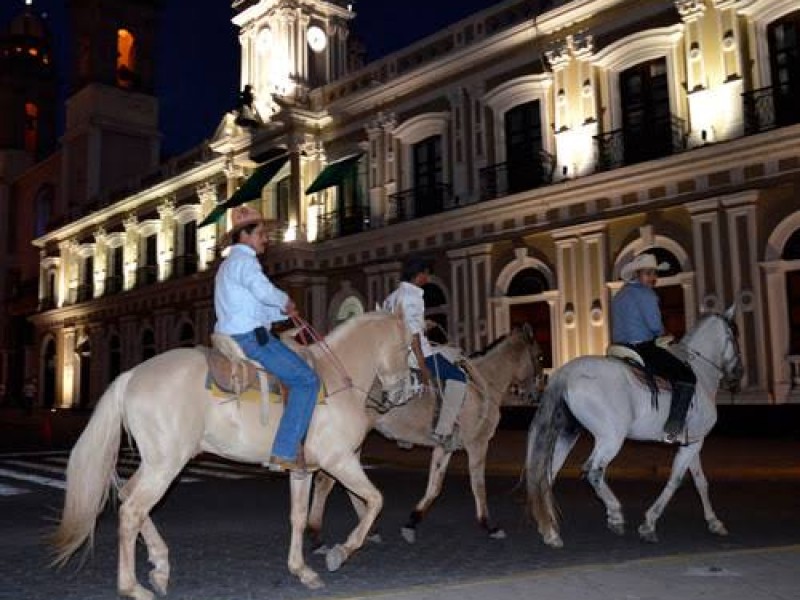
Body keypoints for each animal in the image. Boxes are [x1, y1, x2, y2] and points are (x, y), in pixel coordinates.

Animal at [50, 312, 412, 596]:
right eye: (408, 345)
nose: (403, 393)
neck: (336, 380)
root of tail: (131, 376)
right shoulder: (340, 461)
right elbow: (375, 500)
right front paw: (342, 551)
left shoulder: (302, 470)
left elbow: (298, 516)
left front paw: (302, 570)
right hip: (165, 466)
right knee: (132, 511)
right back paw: (132, 586)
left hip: (155, 463)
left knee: (127, 496)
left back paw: (160, 565)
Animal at [306, 326, 544, 548]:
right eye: (539, 356)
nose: (536, 395)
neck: (483, 381)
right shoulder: (478, 443)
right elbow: (478, 486)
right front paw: (489, 525)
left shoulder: (444, 447)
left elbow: (434, 487)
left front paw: (412, 521)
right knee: (326, 482)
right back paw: (317, 535)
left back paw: (367, 530)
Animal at [524, 308, 744, 548]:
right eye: (734, 335)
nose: (738, 373)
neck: (701, 374)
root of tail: (567, 372)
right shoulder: (695, 442)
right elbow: (676, 480)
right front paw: (649, 524)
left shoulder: (692, 441)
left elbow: (700, 482)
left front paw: (714, 522)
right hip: (611, 438)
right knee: (594, 471)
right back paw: (614, 515)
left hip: (567, 434)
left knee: (547, 476)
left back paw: (550, 532)